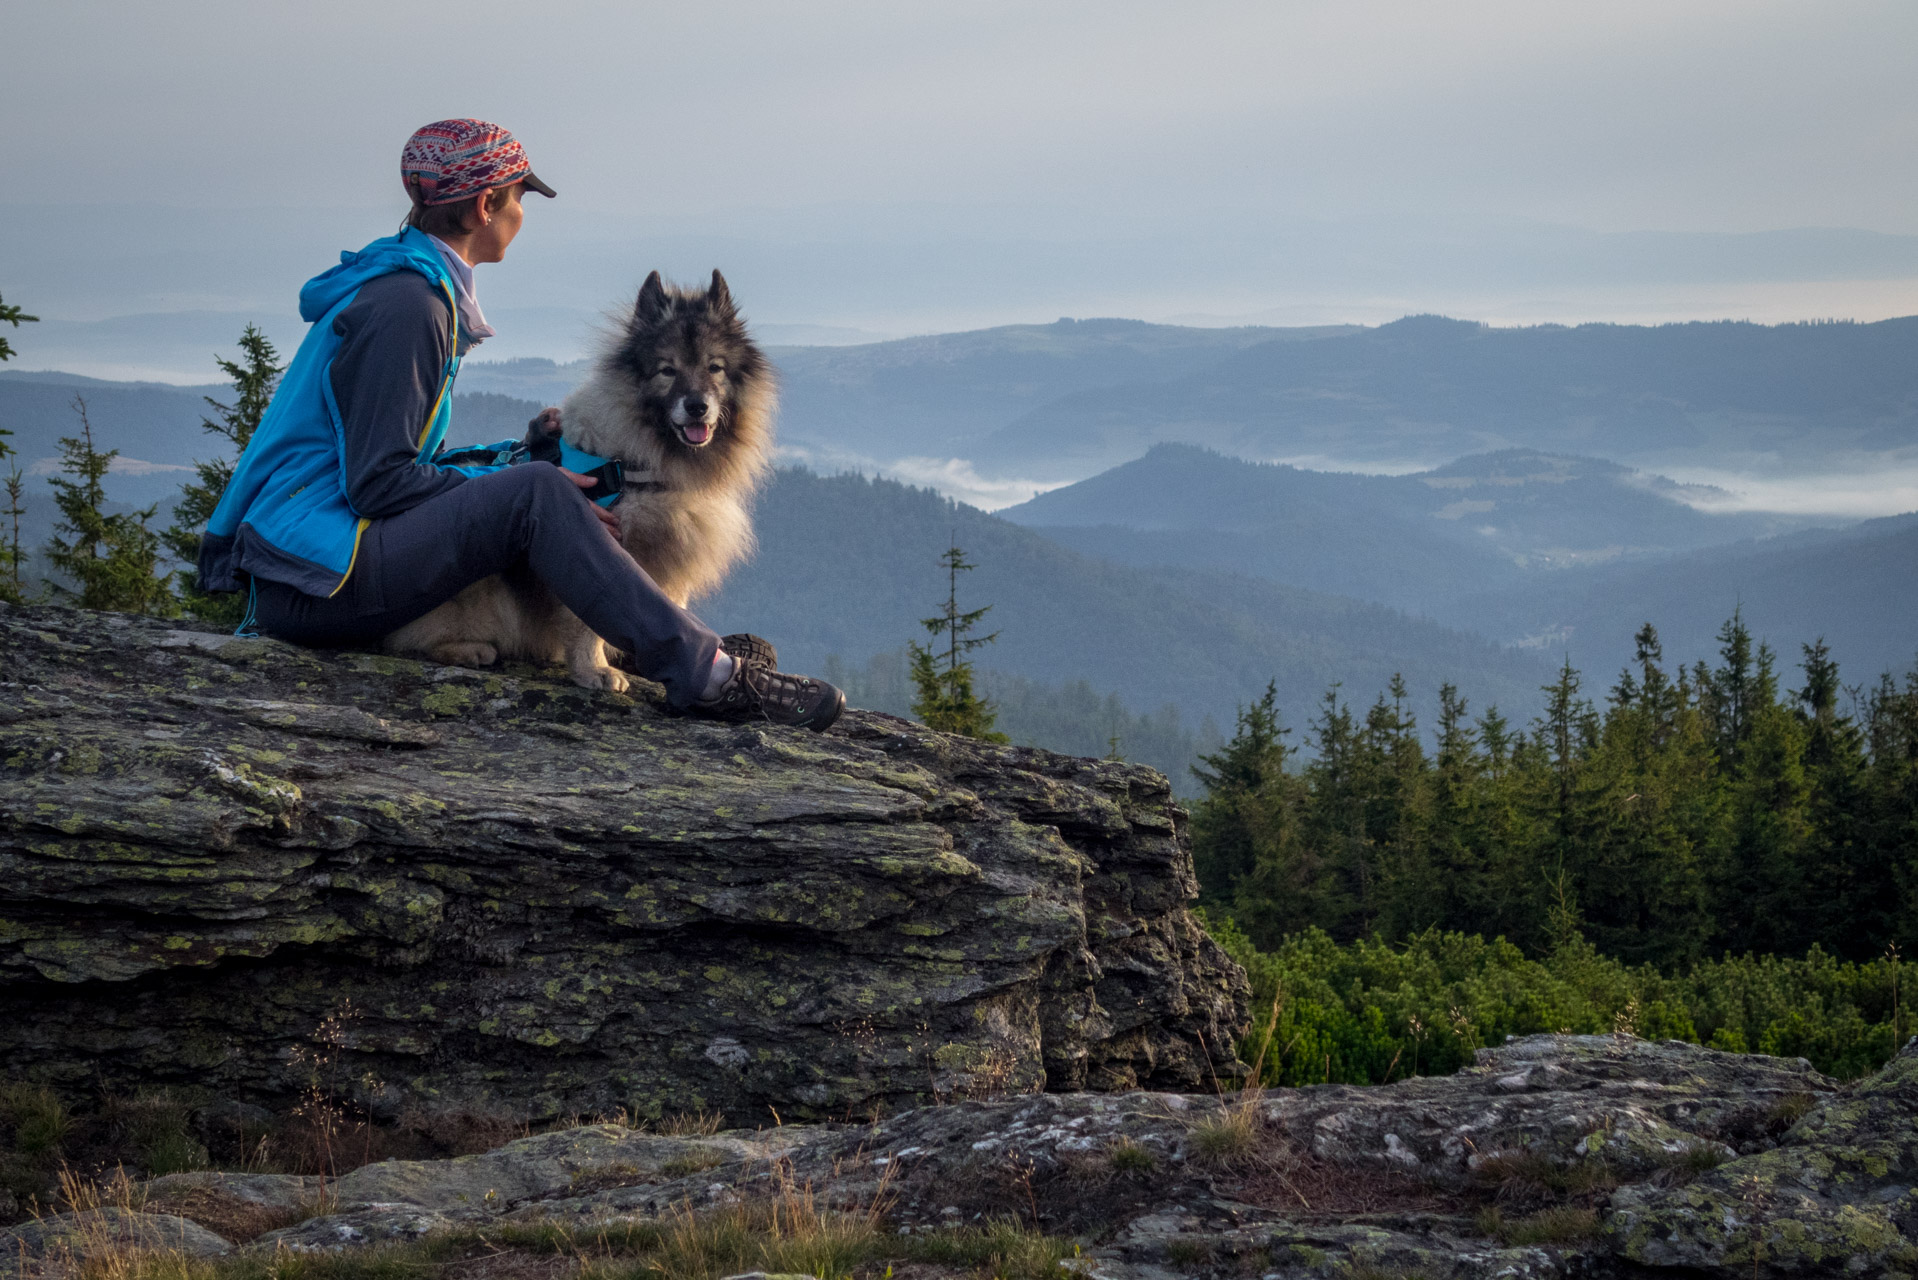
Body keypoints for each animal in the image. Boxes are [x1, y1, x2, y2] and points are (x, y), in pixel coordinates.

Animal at [385, 268, 774, 690]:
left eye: (714, 368)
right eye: (667, 370)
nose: (697, 406)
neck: (635, 462)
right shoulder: (603, 542)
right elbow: (589, 615)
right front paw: (595, 669)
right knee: (405, 639)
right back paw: (468, 649)